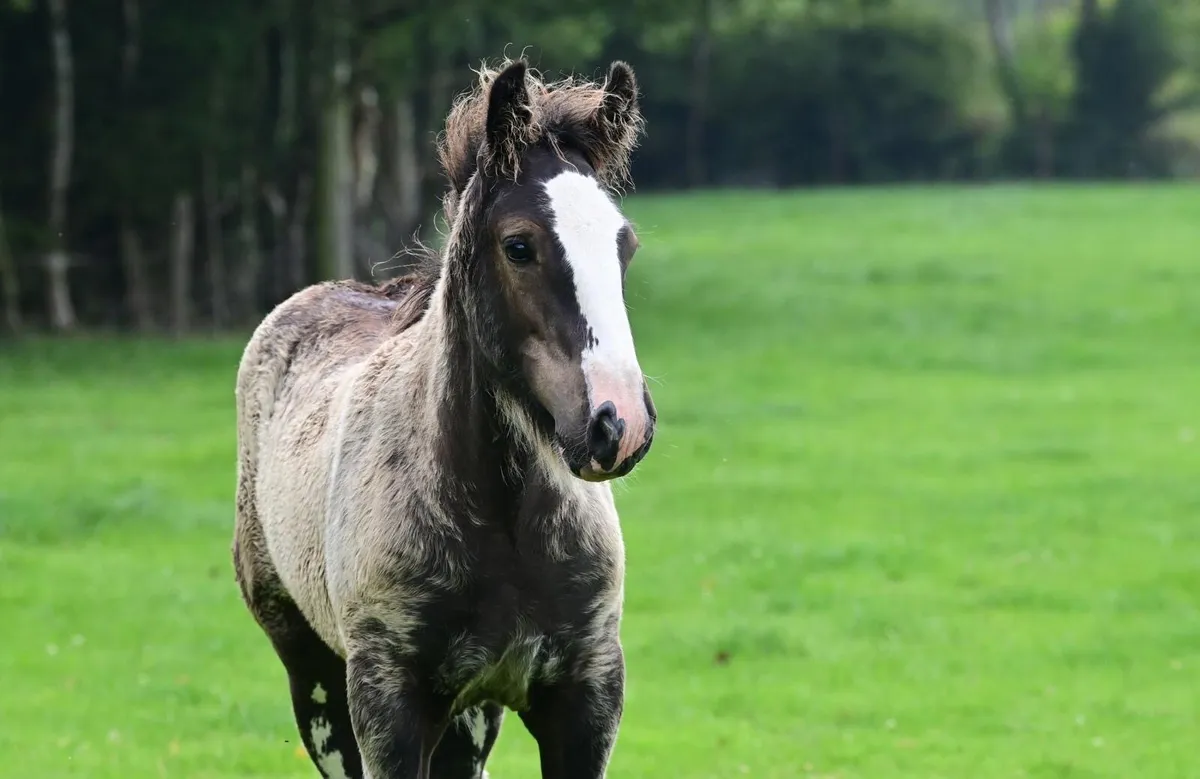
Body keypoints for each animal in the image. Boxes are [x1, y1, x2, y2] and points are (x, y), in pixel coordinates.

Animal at [232, 58, 655, 779]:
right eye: (519, 245)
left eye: (623, 244)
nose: (617, 423)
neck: (503, 524)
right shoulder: (388, 707)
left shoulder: (587, 695)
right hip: (314, 678)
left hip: (470, 715)